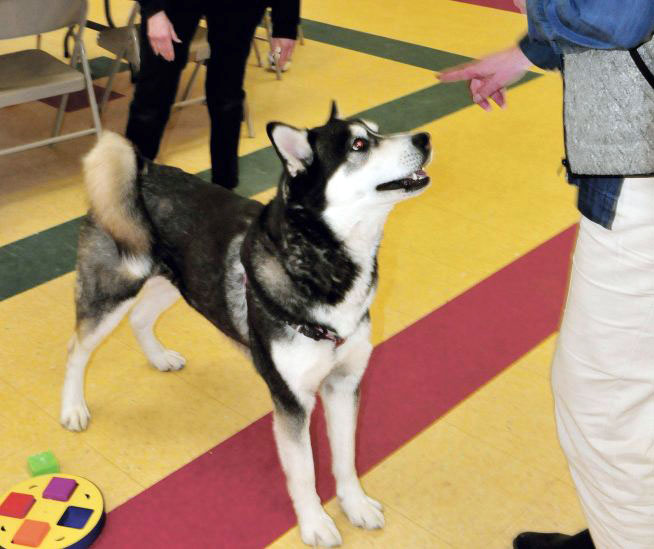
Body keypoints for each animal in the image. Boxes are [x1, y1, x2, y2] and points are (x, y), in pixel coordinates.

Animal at [60, 101, 430, 544]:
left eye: (377, 131)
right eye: (359, 145)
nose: (424, 138)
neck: (325, 266)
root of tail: (143, 169)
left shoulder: (344, 382)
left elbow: (346, 456)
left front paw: (354, 504)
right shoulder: (291, 401)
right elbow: (304, 472)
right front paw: (315, 523)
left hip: (184, 282)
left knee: (140, 317)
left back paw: (159, 357)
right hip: (113, 289)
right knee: (77, 347)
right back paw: (73, 408)